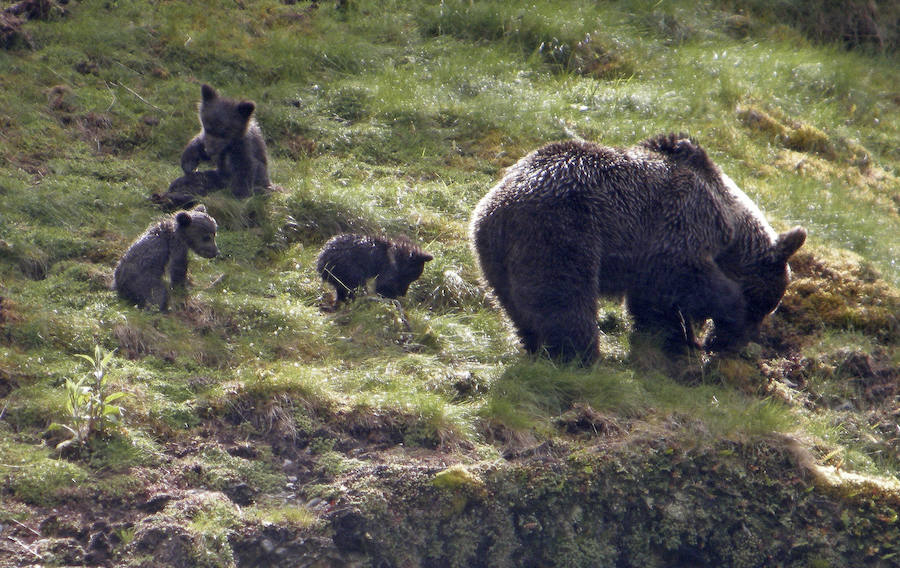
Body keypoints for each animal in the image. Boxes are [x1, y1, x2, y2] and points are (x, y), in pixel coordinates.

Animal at [470, 133, 806, 364]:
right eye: (762, 305)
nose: (731, 344)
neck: (729, 220)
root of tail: (500, 204)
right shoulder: (680, 223)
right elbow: (685, 275)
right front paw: (715, 316)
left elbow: (654, 302)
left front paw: (671, 337)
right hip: (561, 232)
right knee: (564, 297)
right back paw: (579, 354)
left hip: (493, 255)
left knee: (516, 304)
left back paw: (534, 343)